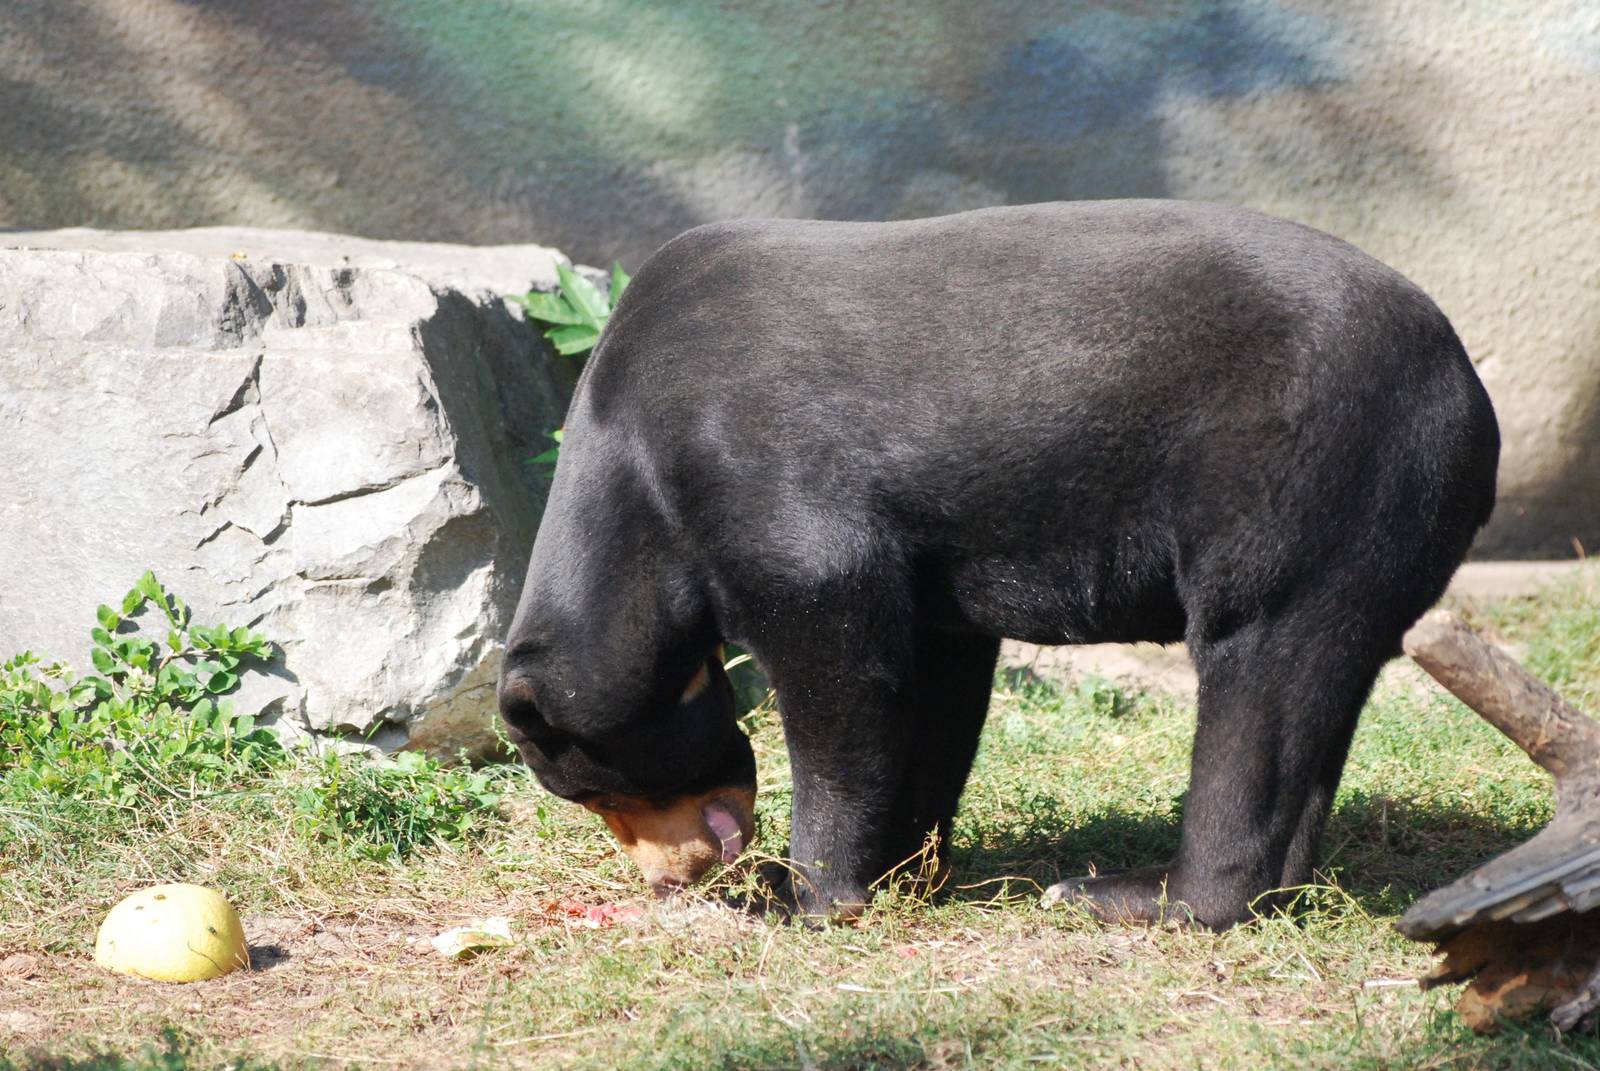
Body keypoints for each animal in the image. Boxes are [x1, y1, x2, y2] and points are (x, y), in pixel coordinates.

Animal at [497, 199, 1500, 929]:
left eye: (599, 791)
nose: (681, 876)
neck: (634, 469)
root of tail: (1469, 393)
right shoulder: (930, 574)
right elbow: (934, 687)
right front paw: (905, 871)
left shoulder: (763, 475)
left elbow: (839, 665)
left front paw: (800, 893)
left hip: (1309, 479)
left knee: (1258, 674)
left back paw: (1137, 896)